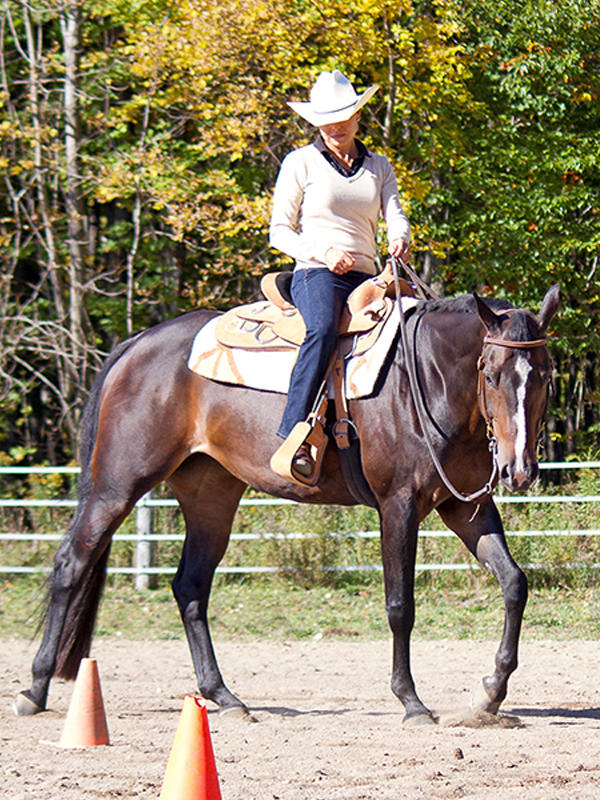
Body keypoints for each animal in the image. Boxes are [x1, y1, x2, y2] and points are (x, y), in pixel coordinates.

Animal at [13, 284, 559, 724]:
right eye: (491, 373)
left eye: (545, 375)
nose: (520, 469)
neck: (426, 377)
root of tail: (137, 345)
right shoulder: (398, 506)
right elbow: (400, 606)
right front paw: (411, 702)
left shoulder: (465, 508)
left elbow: (515, 583)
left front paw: (490, 693)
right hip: (117, 483)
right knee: (71, 563)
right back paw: (35, 688)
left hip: (210, 494)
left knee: (190, 586)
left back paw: (224, 697)